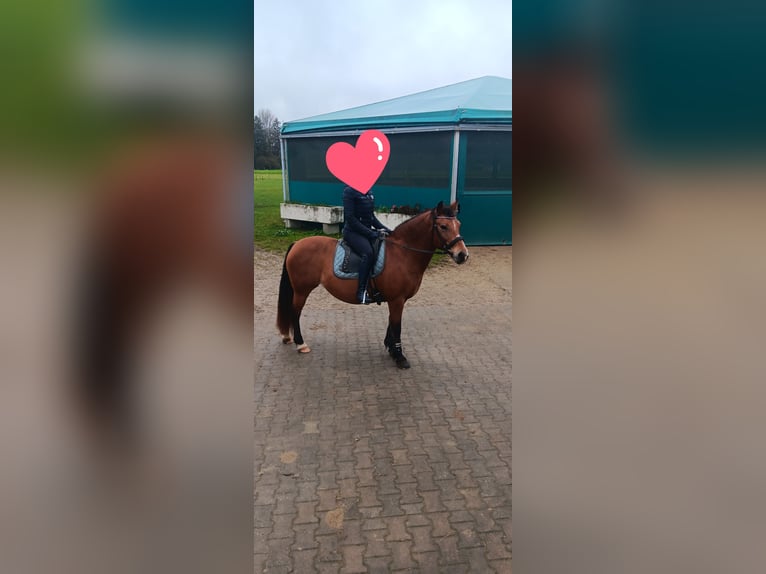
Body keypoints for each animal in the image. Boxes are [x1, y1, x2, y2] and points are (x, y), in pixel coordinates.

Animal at [276, 200, 469, 368]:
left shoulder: (397, 300)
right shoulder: (397, 300)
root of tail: (297, 244)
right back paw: (301, 344)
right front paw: (399, 357)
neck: (402, 253)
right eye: (443, 226)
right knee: (295, 313)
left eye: (458, 224)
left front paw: (391, 349)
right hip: (301, 290)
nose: (462, 255)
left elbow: (391, 323)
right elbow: (397, 327)